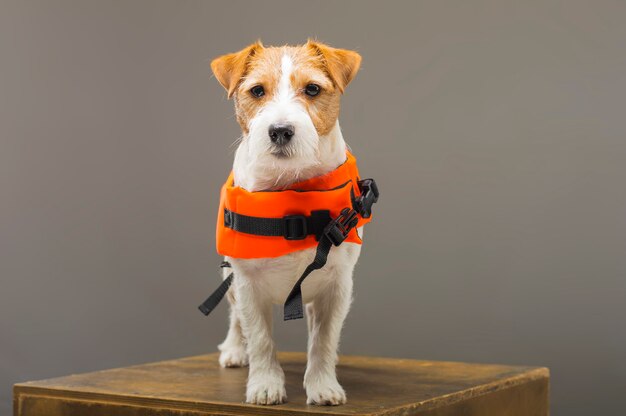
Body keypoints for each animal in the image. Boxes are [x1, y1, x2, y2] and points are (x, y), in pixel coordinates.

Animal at [211, 40, 360, 404]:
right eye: (257, 90)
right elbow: (260, 338)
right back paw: (234, 350)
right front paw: (265, 384)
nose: (280, 131)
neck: (290, 187)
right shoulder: (246, 283)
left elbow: (323, 340)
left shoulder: (337, 285)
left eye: (312, 89)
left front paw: (322, 385)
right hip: (228, 280)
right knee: (235, 317)